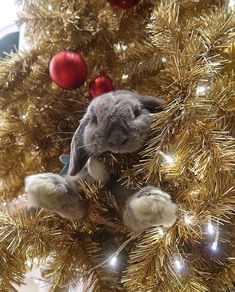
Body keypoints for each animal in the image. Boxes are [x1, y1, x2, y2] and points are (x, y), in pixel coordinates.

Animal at [25, 90, 176, 232]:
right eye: (94, 119)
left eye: (137, 112)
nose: (117, 138)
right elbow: (76, 202)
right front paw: (46, 187)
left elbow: (130, 217)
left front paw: (152, 204)